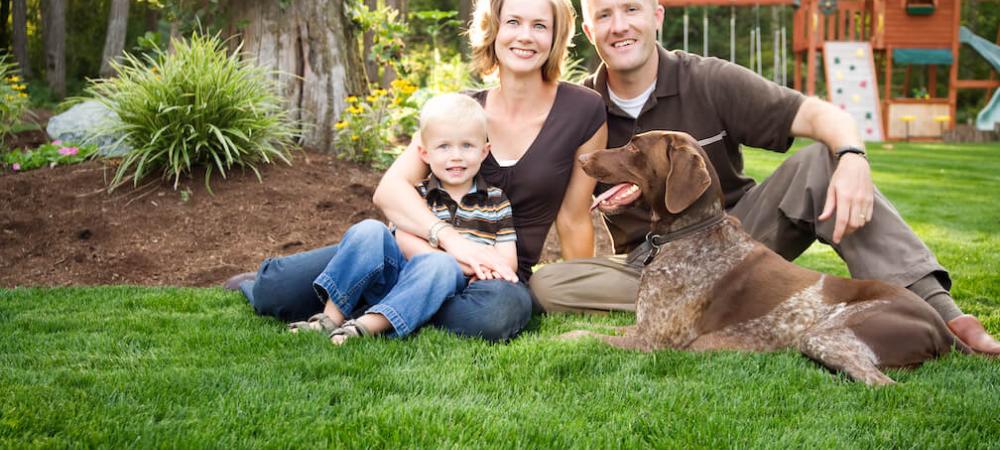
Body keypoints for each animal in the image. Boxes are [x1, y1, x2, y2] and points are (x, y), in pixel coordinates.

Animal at [568, 131, 972, 386]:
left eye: (634, 147)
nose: (581, 156)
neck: (688, 233)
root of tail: (941, 327)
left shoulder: (655, 343)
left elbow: (578, 335)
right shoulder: (641, 329)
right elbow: (591, 328)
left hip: (826, 336)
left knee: (882, 384)